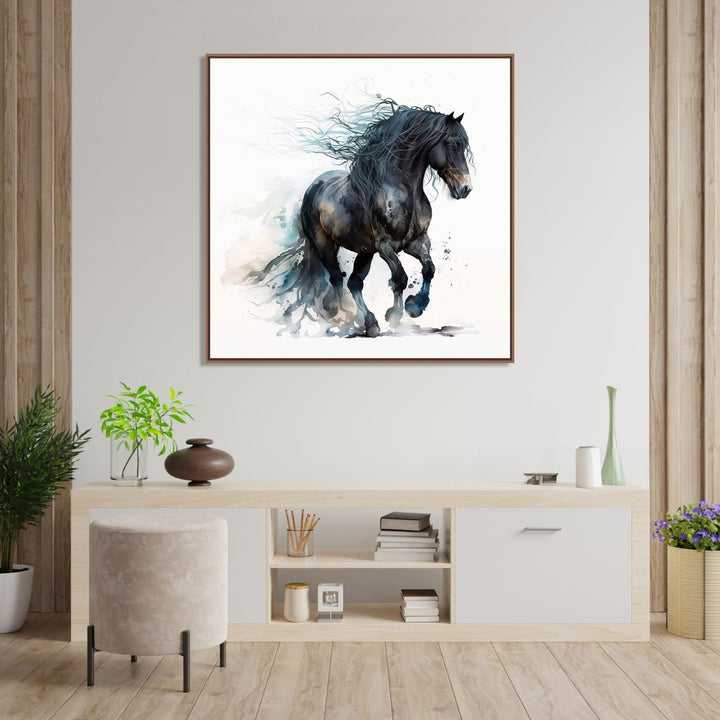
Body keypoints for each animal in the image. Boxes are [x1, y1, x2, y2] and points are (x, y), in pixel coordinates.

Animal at [251, 102, 473, 337]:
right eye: (451, 143)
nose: (465, 188)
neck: (402, 192)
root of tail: (314, 187)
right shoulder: (386, 246)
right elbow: (400, 278)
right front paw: (395, 315)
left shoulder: (417, 242)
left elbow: (428, 269)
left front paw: (415, 306)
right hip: (324, 244)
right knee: (337, 278)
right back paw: (344, 317)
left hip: (365, 251)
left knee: (354, 283)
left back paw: (368, 322)